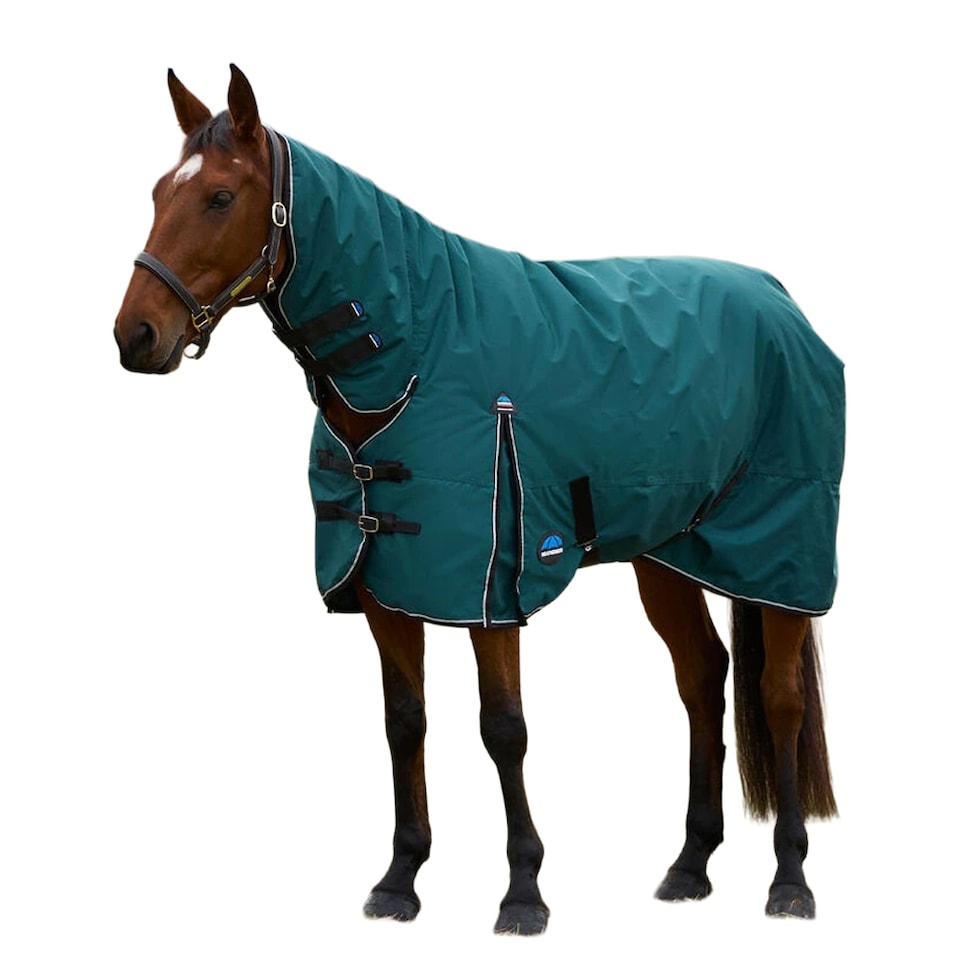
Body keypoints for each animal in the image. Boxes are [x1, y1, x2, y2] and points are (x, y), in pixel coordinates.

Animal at [114, 65, 843, 933]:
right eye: (159, 191)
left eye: (220, 197)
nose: (134, 337)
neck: (417, 355)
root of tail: (781, 299)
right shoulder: (388, 583)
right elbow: (405, 722)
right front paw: (400, 878)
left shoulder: (492, 586)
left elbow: (504, 729)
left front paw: (524, 892)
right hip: (667, 553)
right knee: (703, 679)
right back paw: (689, 865)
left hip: (778, 554)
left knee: (779, 699)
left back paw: (791, 880)